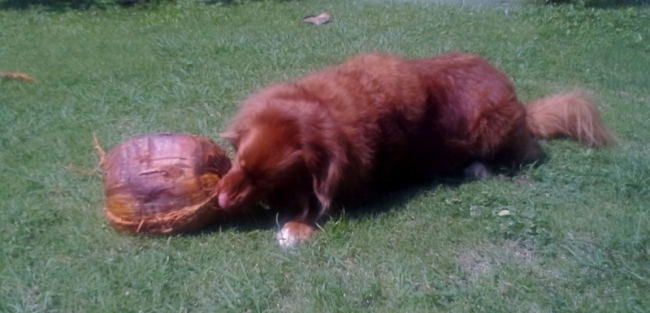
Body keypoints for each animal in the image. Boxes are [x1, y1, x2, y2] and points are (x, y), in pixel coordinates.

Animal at [218, 51, 612, 246]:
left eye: (266, 179)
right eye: (239, 162)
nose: (220, 200)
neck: (325, 105)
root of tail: (522, 105)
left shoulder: (357, 186)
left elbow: (321, 206)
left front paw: (296, 228)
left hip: (494, 125)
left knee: (522, 157)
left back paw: (479, 167)